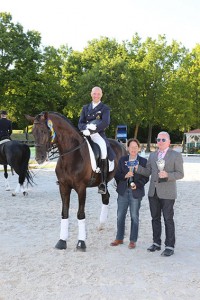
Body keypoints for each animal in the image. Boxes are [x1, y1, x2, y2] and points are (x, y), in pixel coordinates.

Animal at [25, 112, 126, 251]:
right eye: (33, 133)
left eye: (45, 131)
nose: (39, 158)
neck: (71, 155)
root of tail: (121, 145)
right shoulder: (63, 187)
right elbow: (64, 212)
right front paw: (62, 241)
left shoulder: (81, 188)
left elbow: (80, 214)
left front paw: (81, 242)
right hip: (103, 184)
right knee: (106, 197)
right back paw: (101, 225)